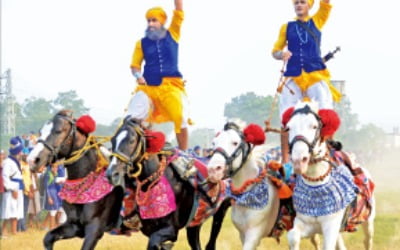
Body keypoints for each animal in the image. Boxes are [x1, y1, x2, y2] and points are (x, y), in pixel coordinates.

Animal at [27, 111, 124, 250]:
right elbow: (48, 238)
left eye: (58, 131)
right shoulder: (74, 226)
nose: (33, 160)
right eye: (40, 132)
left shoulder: (95, 229)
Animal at [105, 117, 231, 250]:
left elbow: (154, 244)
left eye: (131, 140)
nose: (112, 173)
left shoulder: (170, 229)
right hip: (195, 222)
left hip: (221, 209)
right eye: (113, 141)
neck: (154, 182)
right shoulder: (149, 229)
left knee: (212, 239)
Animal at [208, 121, 318, 250]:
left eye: (235, 142)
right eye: (214, 143)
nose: (213, 169)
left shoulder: (254, 234)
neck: (248, 196)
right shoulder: (243, 235)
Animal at [284, 101, 376, 250]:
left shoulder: (331, 225)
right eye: (289, 128)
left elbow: (327, 245)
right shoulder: (307, 224)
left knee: (368, 240)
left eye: (314, 126)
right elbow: (293, 237)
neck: (315, 183)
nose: (299, 160)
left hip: (368, 220)